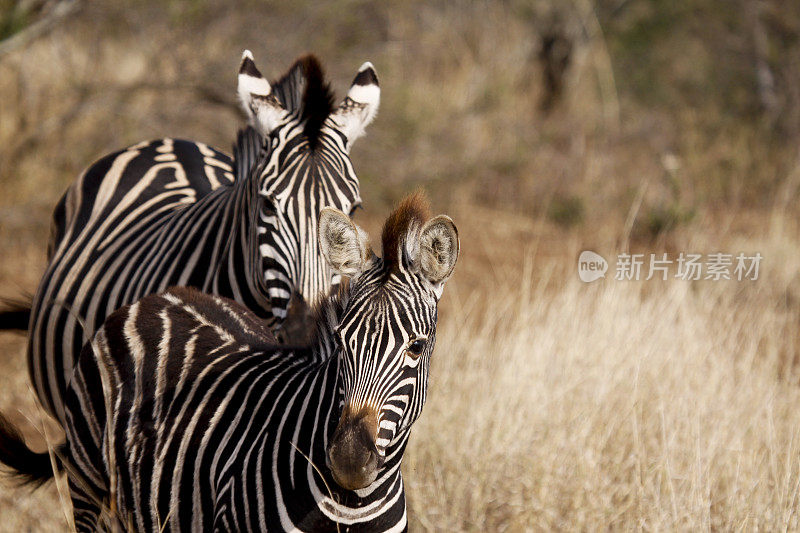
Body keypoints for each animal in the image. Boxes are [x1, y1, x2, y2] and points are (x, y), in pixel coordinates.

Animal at [0, 193, 462, 528]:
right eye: (340, 341)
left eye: (416, 347)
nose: (347, 460)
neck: (352, 504)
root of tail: (153, 300)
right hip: (90, 493)